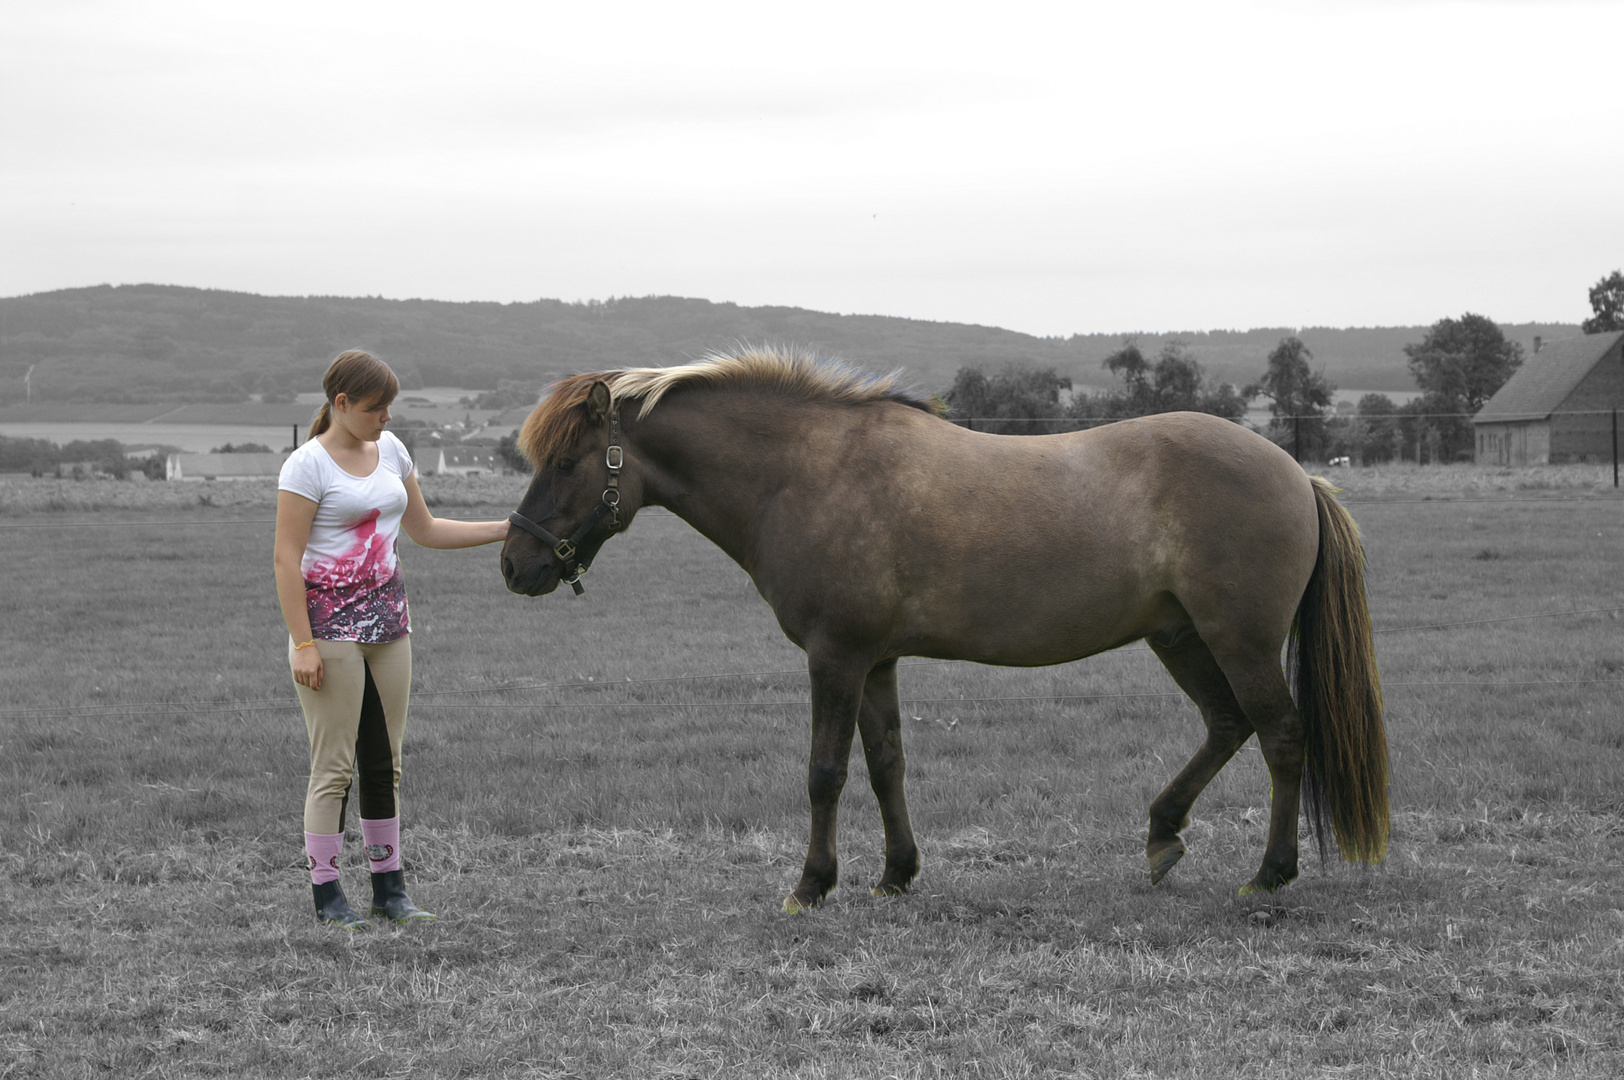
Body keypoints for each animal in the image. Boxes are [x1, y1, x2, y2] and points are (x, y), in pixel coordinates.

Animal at [500, 349, 1390, 902]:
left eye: (568, 463)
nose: (516, 563)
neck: (807, 474)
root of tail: (1295, 471)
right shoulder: (875, 661)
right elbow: (886, 764)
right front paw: (896, 873)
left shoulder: (835, 657)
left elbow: (825, 772)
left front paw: (811, 885)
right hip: (1182, 638)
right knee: (1228, 725)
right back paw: (1163, 836)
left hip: (1238, 640)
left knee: (1281, 735)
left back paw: (1270, 872)